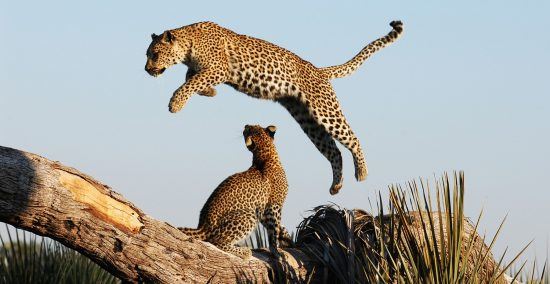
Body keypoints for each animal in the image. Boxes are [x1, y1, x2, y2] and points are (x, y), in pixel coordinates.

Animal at [147, 20, 406, 195]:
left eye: (155, 54)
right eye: (147, 54)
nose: (147, 69)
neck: (188, 43)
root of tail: (319, 71)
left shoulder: (218, 69)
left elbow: (190, 83)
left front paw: (176, 103)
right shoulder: (206, 70)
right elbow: (191, 79)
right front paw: (210, 92)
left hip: (325, 110)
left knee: (352, 139)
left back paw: (361, 172)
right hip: (308, 120)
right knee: (333, 151)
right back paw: (336, 185)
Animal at [181, 125, 294, 260]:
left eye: (253, 126)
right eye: (247, 130)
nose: (245, 125)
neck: (265, 155)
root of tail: (202, 226)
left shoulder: (263, 209)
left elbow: (279, 227)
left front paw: (288, 239)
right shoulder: (274, 205)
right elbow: (274, 230)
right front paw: (276, 251)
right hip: (249, 215)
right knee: (216, 241)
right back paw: (245, 252)